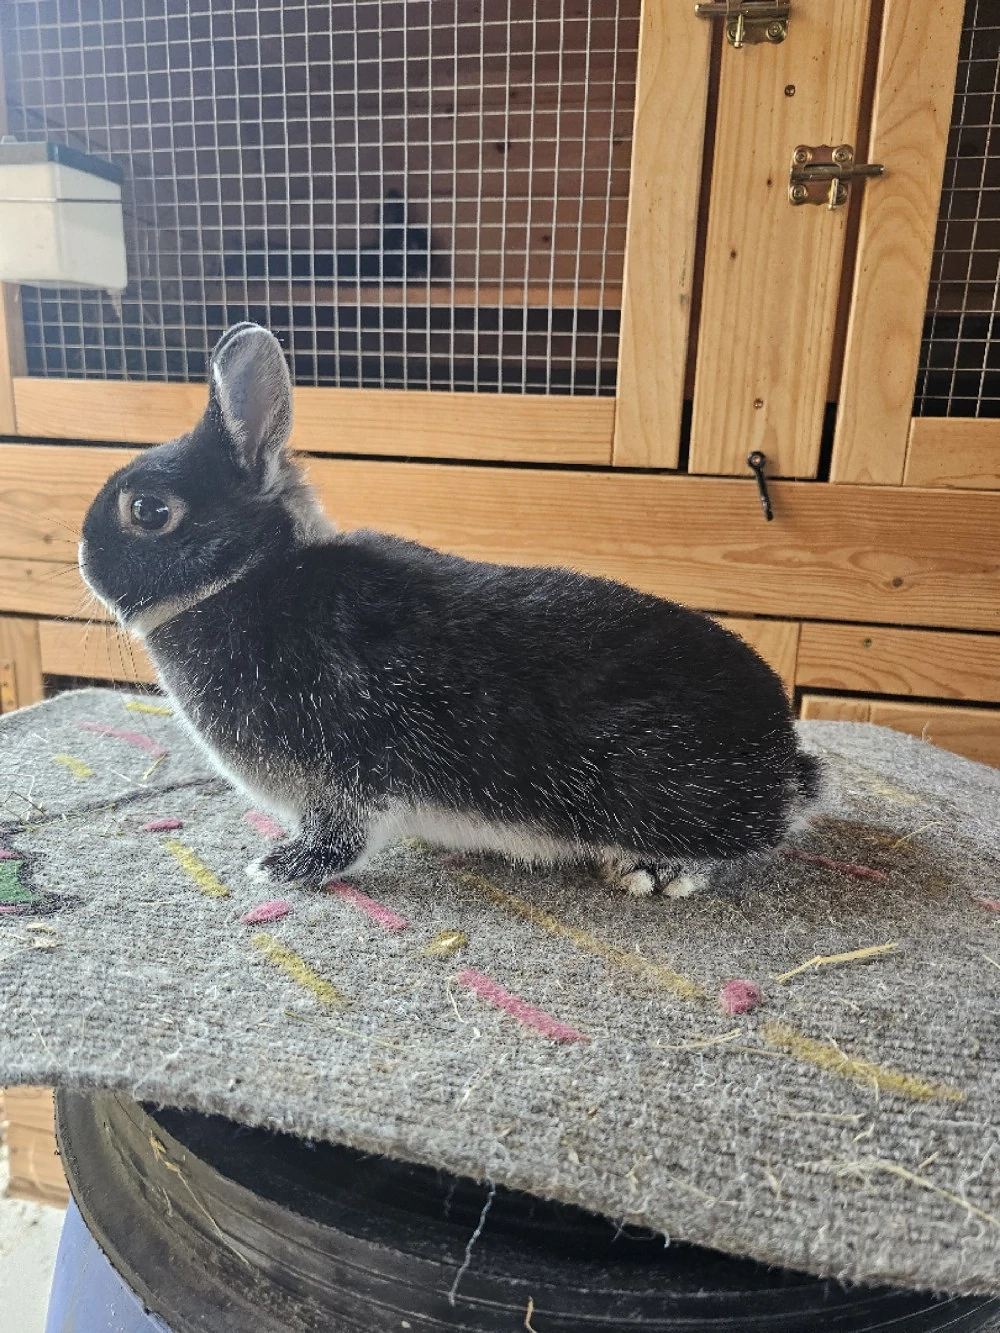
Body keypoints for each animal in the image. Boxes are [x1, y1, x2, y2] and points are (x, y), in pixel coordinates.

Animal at [79, 322, 822, 899]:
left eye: (149, 511)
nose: (83, 553)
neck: (244, 576)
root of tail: (784, 764)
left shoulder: (341, 772)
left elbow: (340, 835)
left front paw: (281, 869)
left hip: (662, 790)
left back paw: (655, 872)